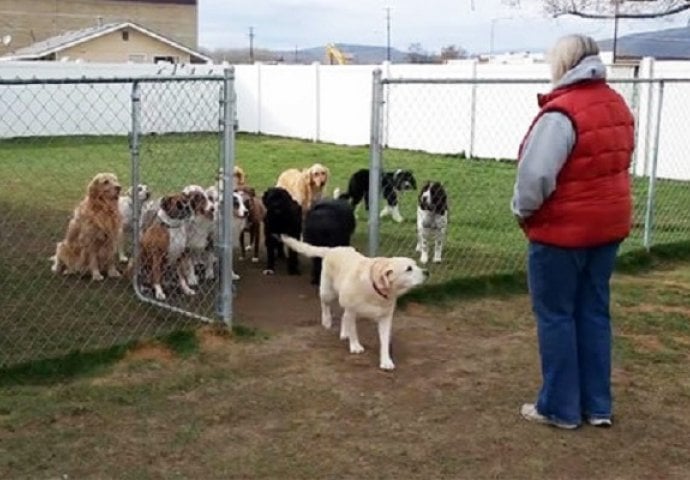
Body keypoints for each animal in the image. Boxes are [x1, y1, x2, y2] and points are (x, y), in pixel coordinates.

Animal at [278, 234, 428, 370]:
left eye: (416, 264)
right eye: (408, 269)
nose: (427, 272)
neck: (374, 288)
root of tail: (332, 249)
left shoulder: (385, 318)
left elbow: (384, 341)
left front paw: (386, 361)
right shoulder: (352, 310)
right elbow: (354, 330)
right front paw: (355, 346)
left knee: (343, 316)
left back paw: (344, 333)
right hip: (328, 293)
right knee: (325, 305)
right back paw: (327, 321)